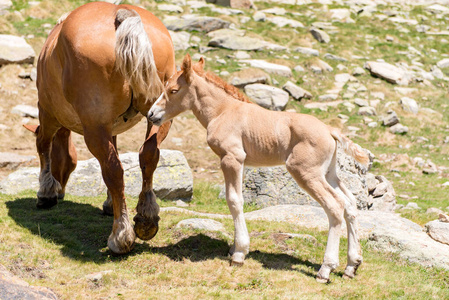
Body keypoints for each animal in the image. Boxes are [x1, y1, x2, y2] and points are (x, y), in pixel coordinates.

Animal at [24, 2, 175, 254]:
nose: (61, 192)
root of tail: (122, 14)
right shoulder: (110, 128)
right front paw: (109, 203)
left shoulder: (47, 113)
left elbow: (43, 147)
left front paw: (46, 193)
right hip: (159, 117)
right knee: (148, 155)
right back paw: (146, 217)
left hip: (92, 127)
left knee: (114, 170)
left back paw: (120, 235)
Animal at [149, 54, 370, 284]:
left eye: (173, 90)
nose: (151, 114)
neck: (222, 111)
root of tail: (329, 130)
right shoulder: (241, 163)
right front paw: (233, 247)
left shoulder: (231, 158)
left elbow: (234, 200)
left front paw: (239, 253)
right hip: (329, 174)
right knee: (350, 204)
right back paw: (351, 265)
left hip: (305, 172)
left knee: (335, 206)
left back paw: (325, 269)